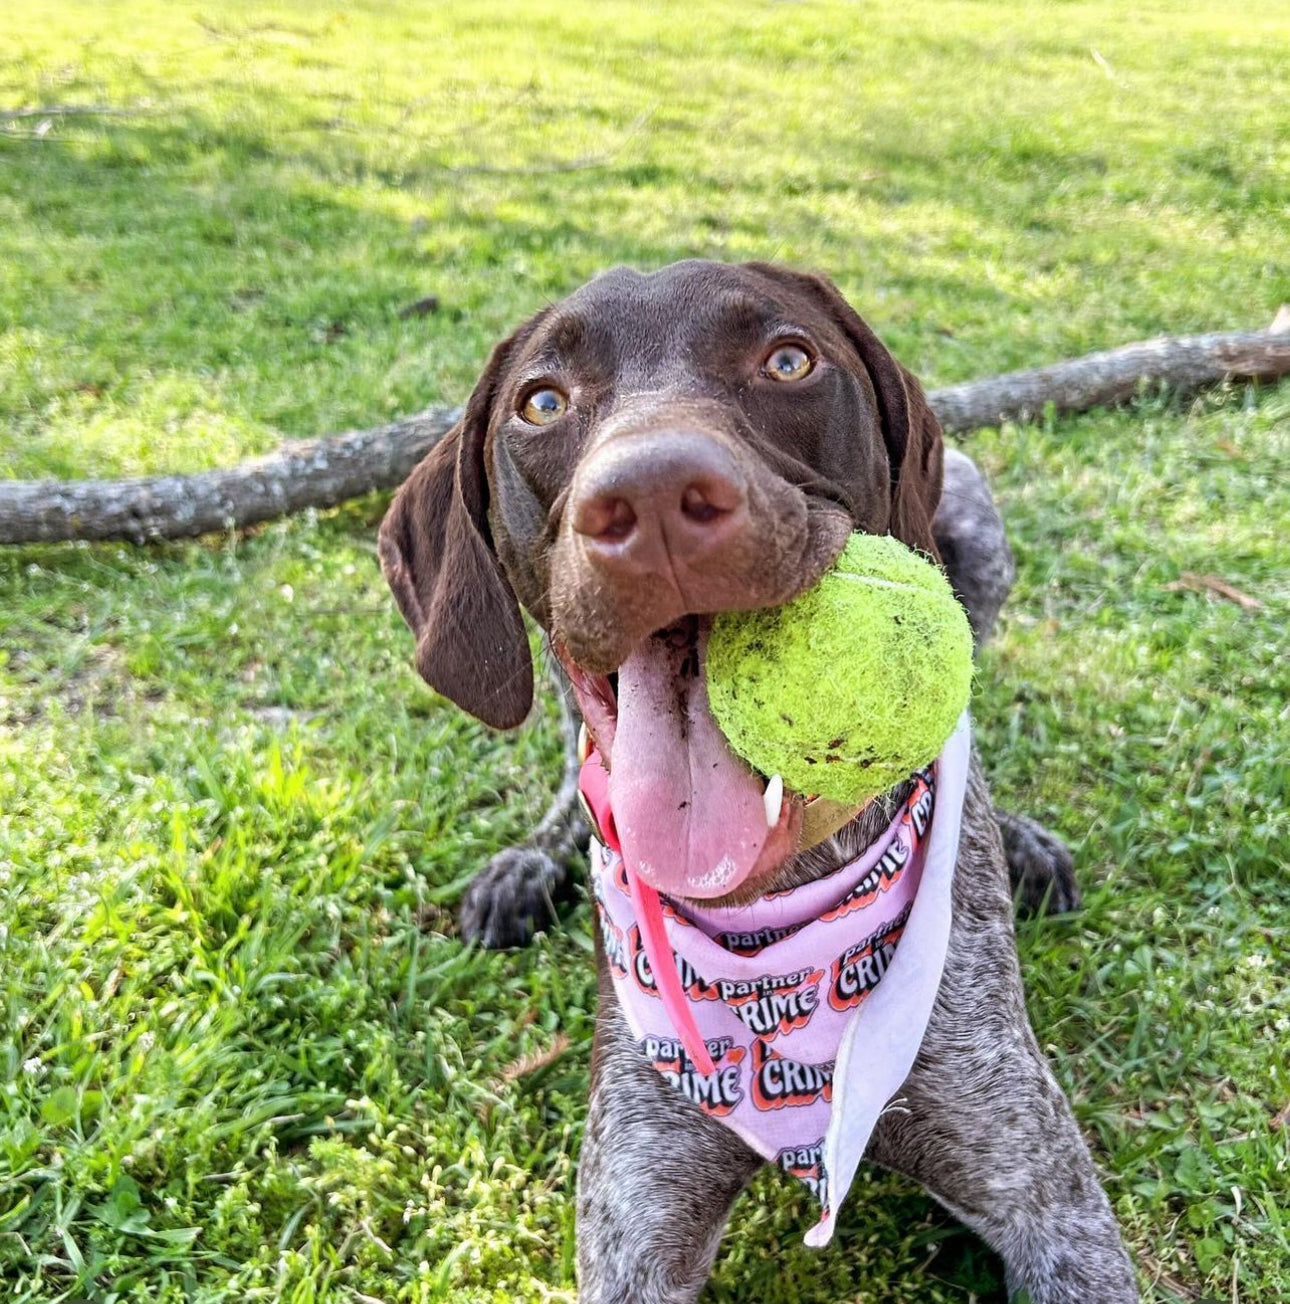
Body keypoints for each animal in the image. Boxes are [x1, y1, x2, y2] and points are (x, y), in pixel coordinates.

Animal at [378, 259, 1132, 1298]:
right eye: (542, 402)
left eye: (788, 360)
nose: (653, 496)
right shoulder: (636, 1224)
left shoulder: (1049, 1201)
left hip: (976, 524)